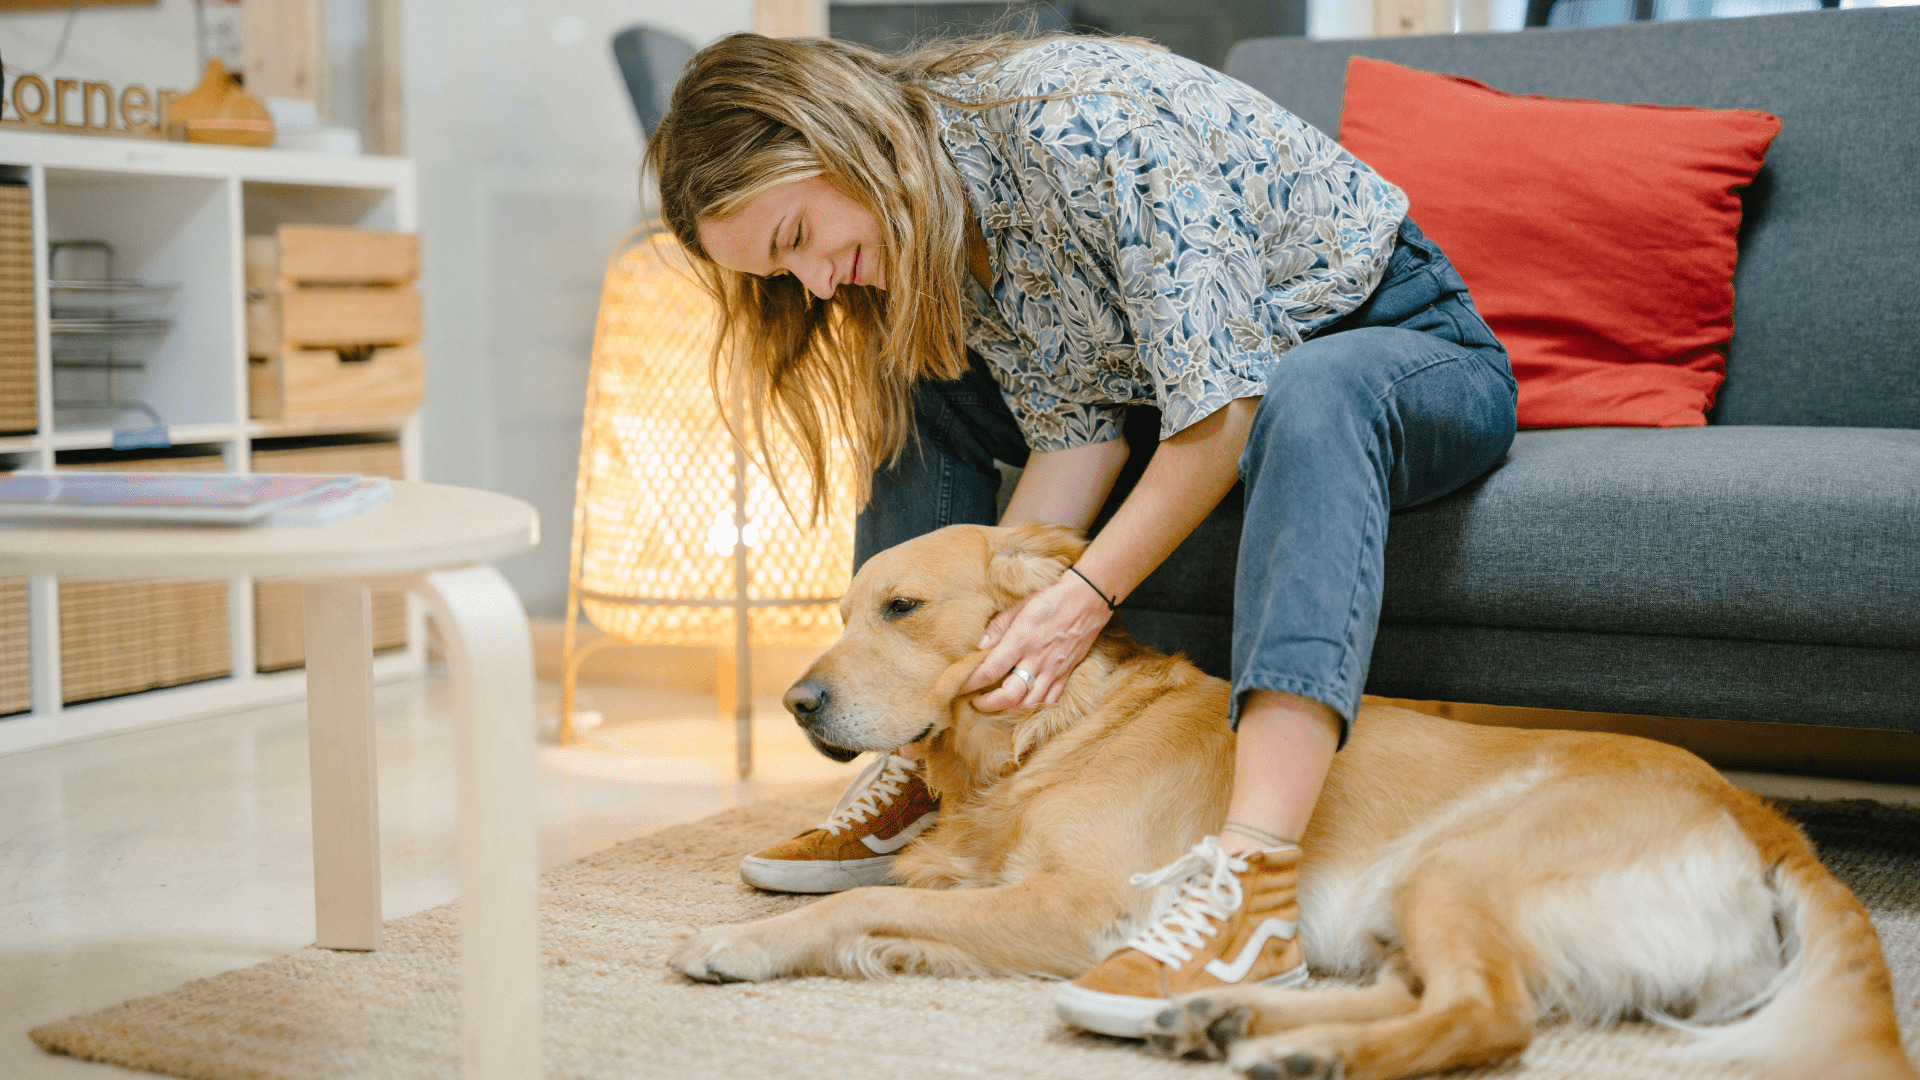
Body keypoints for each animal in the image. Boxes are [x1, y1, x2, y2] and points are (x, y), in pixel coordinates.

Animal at [668, 522, 1912, 1076]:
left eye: (903, 608)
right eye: (843, 608)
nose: (796, 700)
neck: (1049, 733)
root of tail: (1770, 825)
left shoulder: (1081, 905)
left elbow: (867, 903)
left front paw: (742, 944)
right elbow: (897, 880)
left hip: (1460, 863)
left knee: (1488, 1015)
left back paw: (1299, 1053)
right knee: (1430, 992)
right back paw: (1227, 1022)